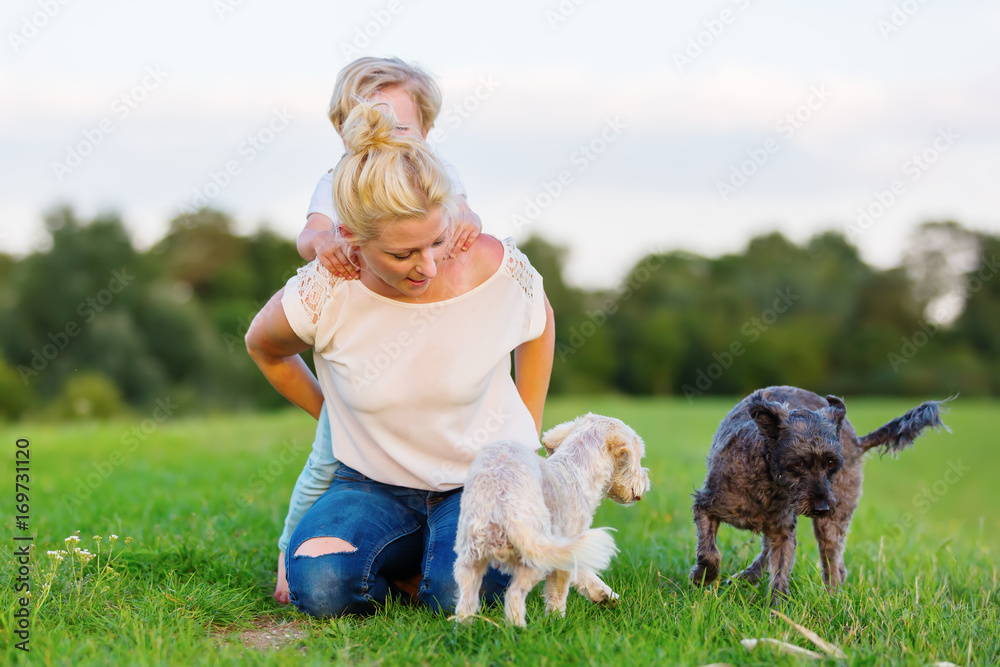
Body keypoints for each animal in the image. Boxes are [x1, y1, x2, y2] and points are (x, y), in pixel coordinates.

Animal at [454, 412, 648, 628]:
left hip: (471, 553)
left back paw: (465, 629)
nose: (646, 483)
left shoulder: (566, 547)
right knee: (514, 593)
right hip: (533, 552)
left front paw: (606, 596)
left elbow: (583, 573)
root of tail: (501, 496)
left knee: (466, 598)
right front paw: (556, 621)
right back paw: (518, 629)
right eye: (638, 460)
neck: (576, 470)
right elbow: (559, 591)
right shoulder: (564, 546)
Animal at [692, 386, 948, 600]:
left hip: (833, 520)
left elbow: (781, 573)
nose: (822, 507)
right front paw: (703, 576)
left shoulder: (784, 531)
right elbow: (710, 552)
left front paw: (775, 614)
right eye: (797, 463)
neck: (767, 483)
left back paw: (831, 601)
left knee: (834, 566)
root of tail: (856, 440)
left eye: (831, 463)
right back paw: (746, 577)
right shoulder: (707, 505)